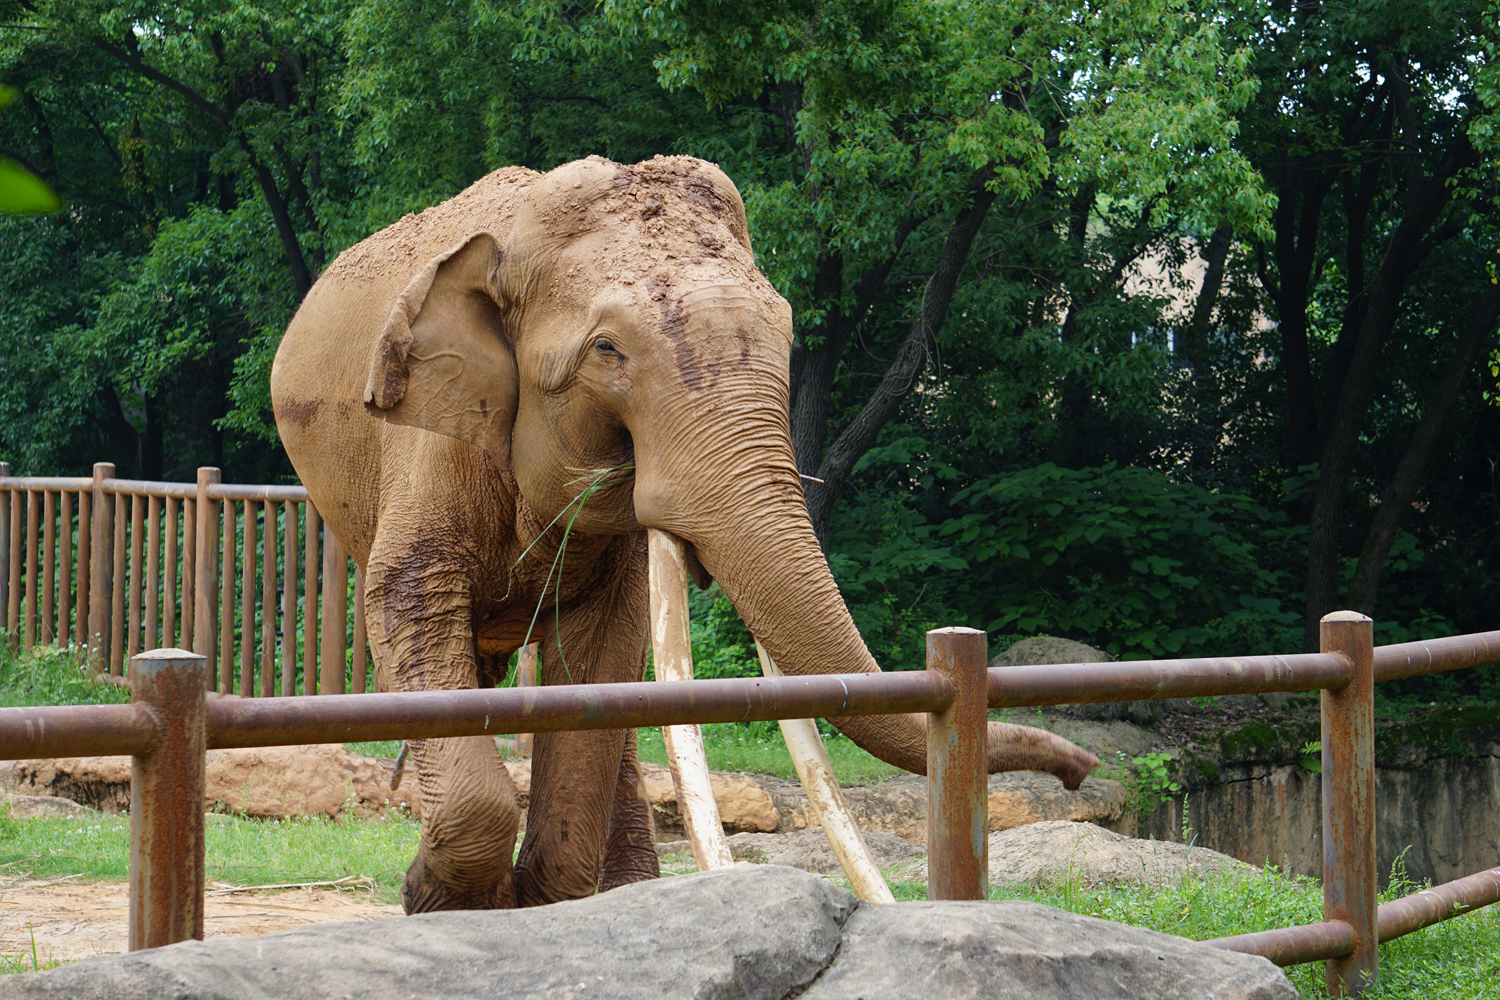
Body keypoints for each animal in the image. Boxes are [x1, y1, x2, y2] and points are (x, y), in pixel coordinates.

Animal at [270, 155, 1098, 913]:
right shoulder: (432, 439)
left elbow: (604, 649)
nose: (1080, 771)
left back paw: (626, 887)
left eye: (787, 334)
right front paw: (437, 902)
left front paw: (538, 904)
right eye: (607, 351)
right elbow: (408, 596)